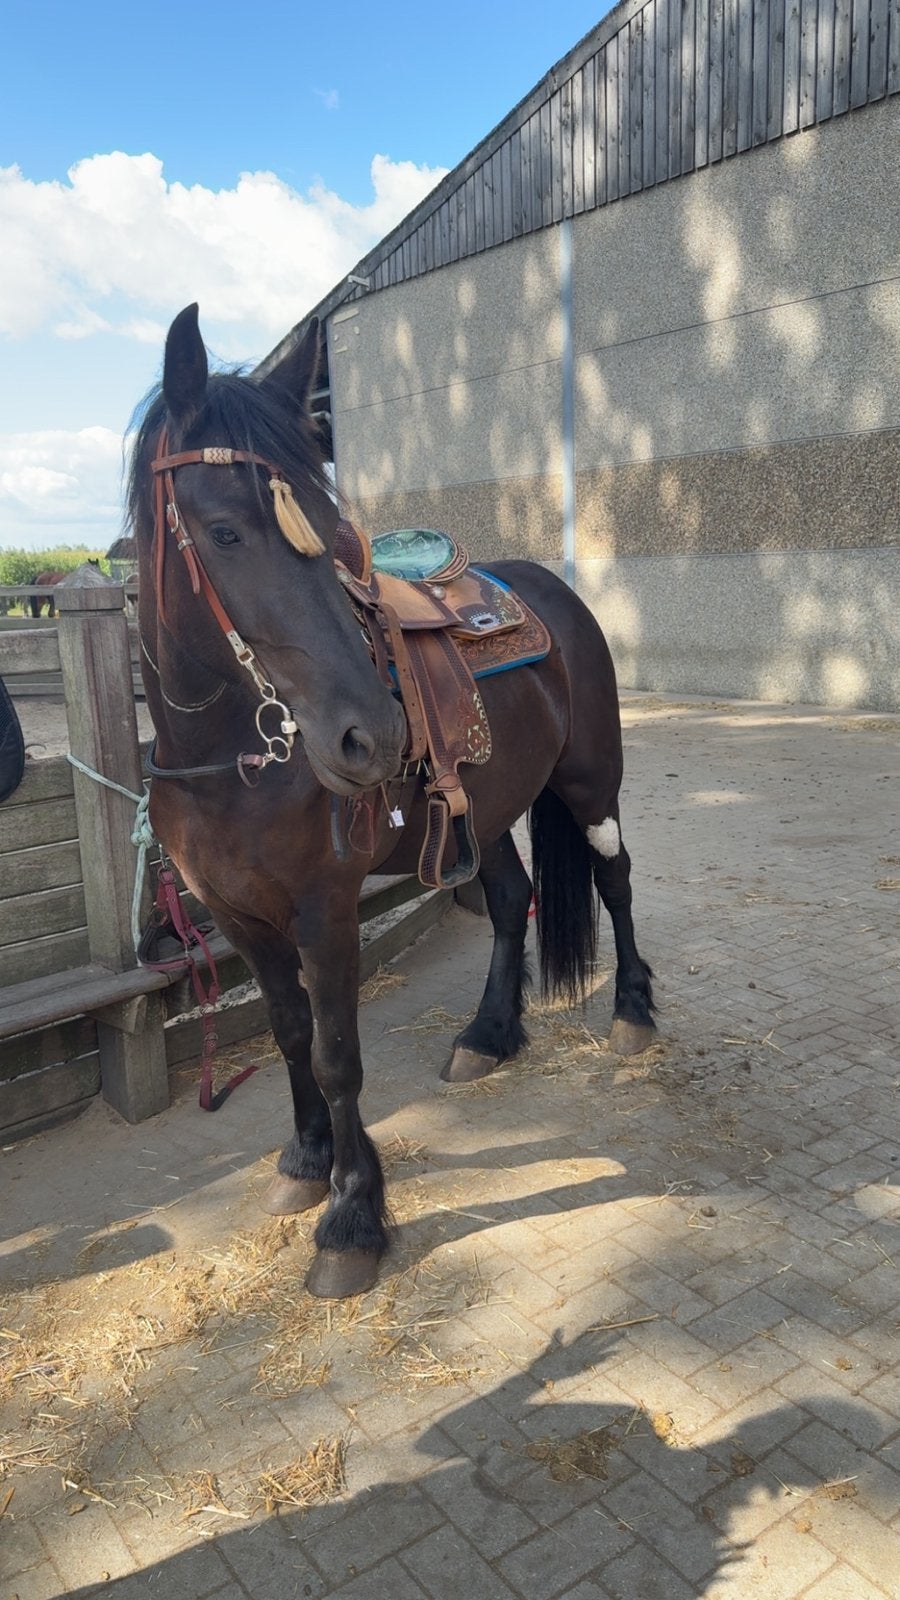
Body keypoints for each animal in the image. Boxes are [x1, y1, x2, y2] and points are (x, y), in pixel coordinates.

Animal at [127, 303, 656, 1300]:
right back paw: (489, 1034)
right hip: (487, 812)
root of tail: (550, 589)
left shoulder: (324, 911)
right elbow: (289, 1032)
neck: (229, 759)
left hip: (589, 781)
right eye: (222, 531)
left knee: (617, 880)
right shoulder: (239, 916)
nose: (371, 733)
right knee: (511, 900)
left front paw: (352, 1217)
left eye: (335, 530)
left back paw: (635, 1014)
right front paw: (304, 1160)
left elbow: (337, 1054)